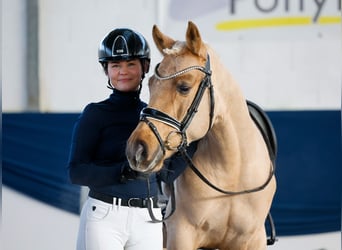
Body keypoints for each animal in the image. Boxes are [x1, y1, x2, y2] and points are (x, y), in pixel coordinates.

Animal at [127, 22, 276, 250]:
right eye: (150, 84)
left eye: (184, 87)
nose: (138, 149)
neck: (233, 174)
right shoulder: (181, 235)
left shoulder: (254, 239)